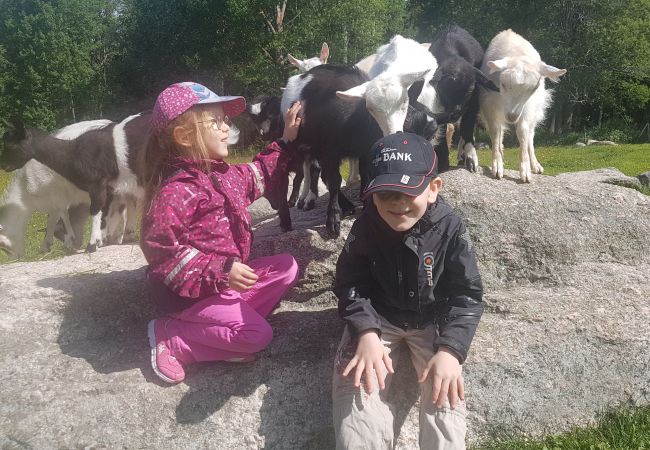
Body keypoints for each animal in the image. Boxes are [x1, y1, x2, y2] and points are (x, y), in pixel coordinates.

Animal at [0, 112, 148, 251]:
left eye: (9, 145)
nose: (3, 165)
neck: (73, 154)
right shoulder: (108, 188)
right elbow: (103, 212)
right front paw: (99, 240)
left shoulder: (96, 184)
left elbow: (94, 211)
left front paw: (91, 245)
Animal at [478, 29, 564, 183]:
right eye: (503, 84)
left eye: (533, 88)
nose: (512, 116)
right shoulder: (489, 103)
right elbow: (496, 130)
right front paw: (497, 166)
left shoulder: (528, 106)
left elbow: (523, 131)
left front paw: (525, 170)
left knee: (530, 134)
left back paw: (535, 165)